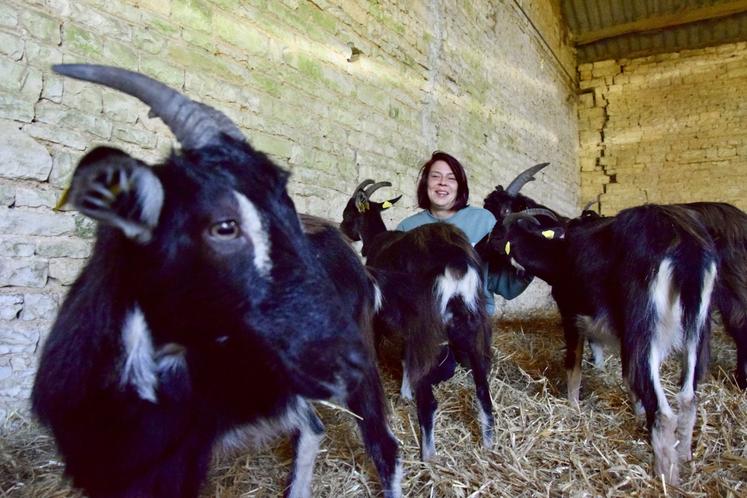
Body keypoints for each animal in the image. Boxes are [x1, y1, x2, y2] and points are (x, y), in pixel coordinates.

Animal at [340, 181, 496, 462]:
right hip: (472, 322)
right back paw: (488, 444)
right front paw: (405, 393)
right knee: (482, 388)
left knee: (430, 400)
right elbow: (406, 356)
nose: (342, 228)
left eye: (349, 211)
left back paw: (428, 454)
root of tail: (455, 259)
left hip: (428, 324)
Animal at [490, 204, 720, 484]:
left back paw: (666, 476)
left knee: (663, 411)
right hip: (697, 331)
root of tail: (686, 250)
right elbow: (626, 375)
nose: (485, 244)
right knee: (687, 397)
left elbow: (574, 365)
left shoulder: (571, 312)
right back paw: (684, 456)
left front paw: (573, 406)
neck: (560, 253)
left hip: (644, 328)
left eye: (498, 230)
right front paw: (637, 413)